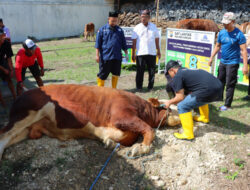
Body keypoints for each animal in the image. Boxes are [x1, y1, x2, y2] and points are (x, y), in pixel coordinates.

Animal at [0, 84, 181, 160]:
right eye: (174, 107)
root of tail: (21, 95)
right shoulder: (122, 115)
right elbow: (148, 129)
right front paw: (140, 148)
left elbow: (127, 136)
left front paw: (110, 142)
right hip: (26, 114)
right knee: (3, 136)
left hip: (25, 129)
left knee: (9, 138)